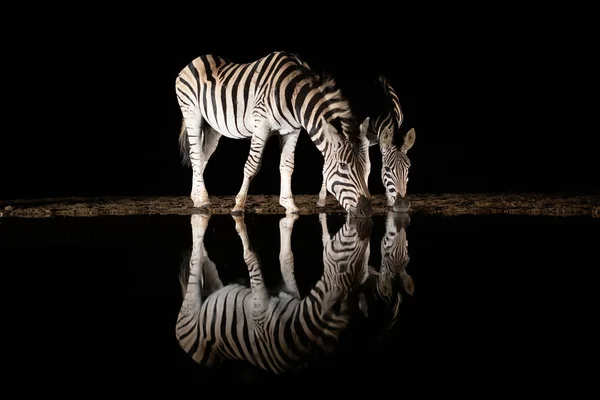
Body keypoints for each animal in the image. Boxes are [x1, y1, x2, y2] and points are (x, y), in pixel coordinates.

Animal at [173, 52, 372, 219]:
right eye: (343, 166)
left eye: (366, 168)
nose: (367, 210)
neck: (293, 96)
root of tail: (197, 59)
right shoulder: (261, 125)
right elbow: (252, 166)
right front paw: (239, 205)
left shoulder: (292, 131)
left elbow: (287, 166)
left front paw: (289, 205)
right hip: (192, 113)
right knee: (195, 155)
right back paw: (203, 200)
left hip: (213, 127)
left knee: (202, 157)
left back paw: (197, 198)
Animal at [173, 212, 372, 376]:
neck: (297, 331)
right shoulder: (267, 306)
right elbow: (277, 258)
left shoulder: (262, 309)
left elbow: (261, 258)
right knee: (197, 259)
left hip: (207, 297)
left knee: (201, 260)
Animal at [314, 75, 418, 212]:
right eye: (388, 169)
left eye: (409, 167)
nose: (403, 206)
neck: (383, 105)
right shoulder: (362, 138)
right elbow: (366, 166)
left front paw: (389, 200)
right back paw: (321, 199)